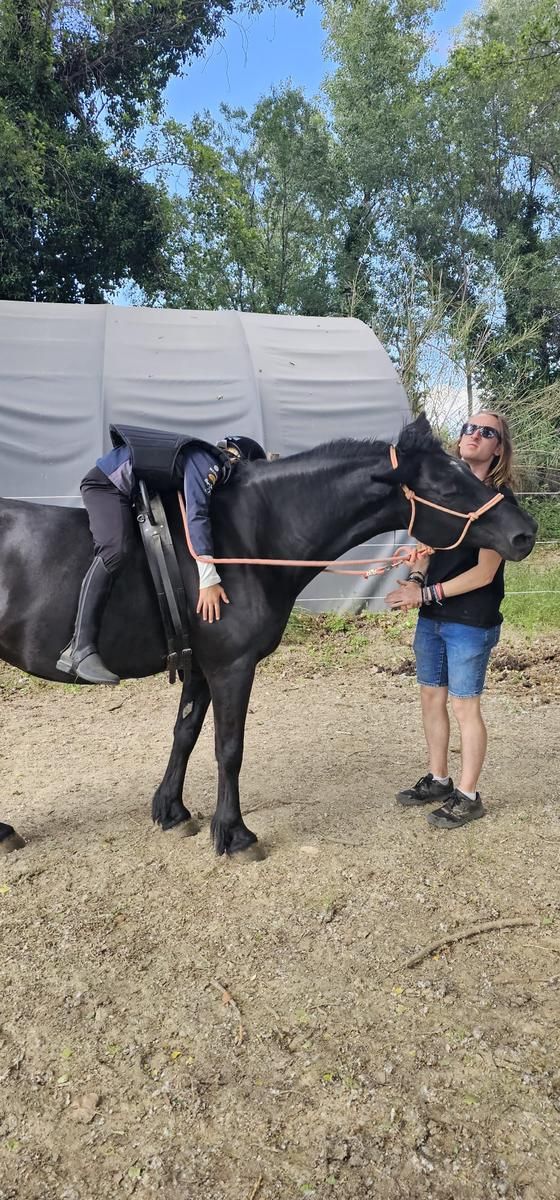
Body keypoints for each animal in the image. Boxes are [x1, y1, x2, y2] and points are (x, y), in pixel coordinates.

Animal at [0, 415, 536, 858]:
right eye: (447, 485)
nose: (524, 532)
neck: (244, 541)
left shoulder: (202, 667)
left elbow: (185, 734)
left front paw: (172, 812)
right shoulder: (231, 667)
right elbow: (228, 749)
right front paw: (234, 834)